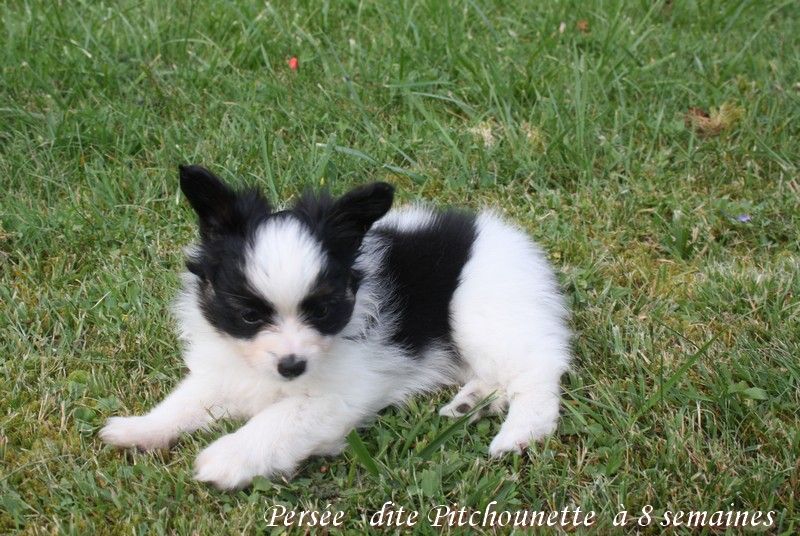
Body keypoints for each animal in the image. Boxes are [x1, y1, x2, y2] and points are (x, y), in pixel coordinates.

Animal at [99, 165, 571, 489]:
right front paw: (139, 429)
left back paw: (520, 434)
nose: (292, 366)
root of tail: (505, 236)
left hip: (485, 314)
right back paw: (471, 404)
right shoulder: (227, 372)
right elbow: (185, 402)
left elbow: (279, 420)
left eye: (323, 311)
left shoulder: (339, 396)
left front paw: (228, 457)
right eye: (250, 315)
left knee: (535, 373)